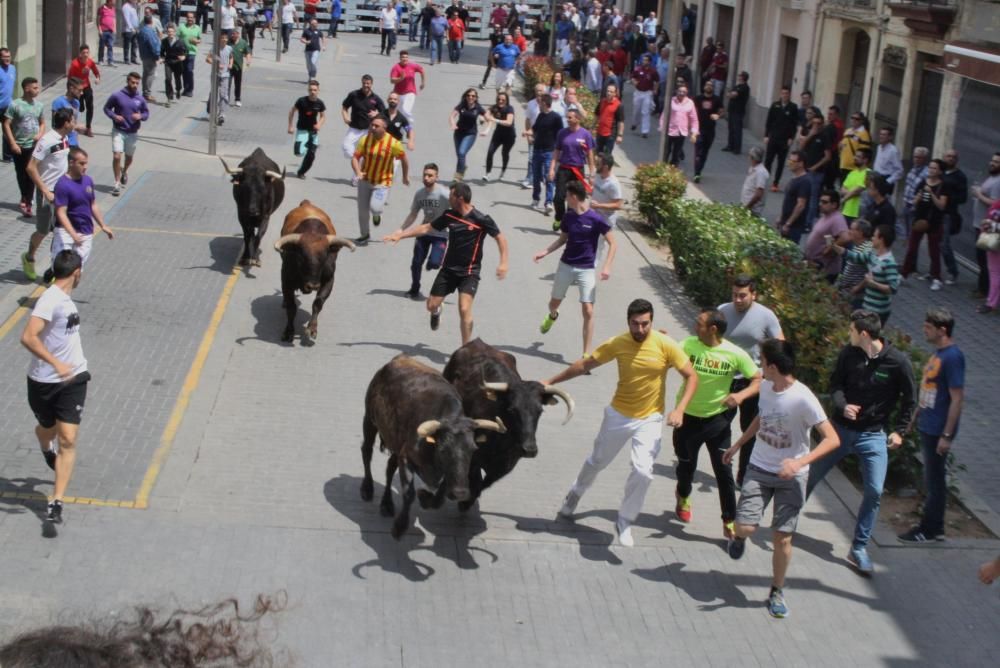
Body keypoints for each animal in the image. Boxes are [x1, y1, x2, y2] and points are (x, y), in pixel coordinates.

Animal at [274, 201, 356, 342]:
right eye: (301, 256)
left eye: (325, 256)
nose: (312, 286)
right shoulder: (286, 279)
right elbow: (291, 307)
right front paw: (288, 331)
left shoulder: (329, 280)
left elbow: (318, 303)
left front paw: (312, 329)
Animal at [360, 358, 504, 540]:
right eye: (443, 449)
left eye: (473, 449)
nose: (461, 493)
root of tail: (396, 360)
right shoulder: (406, 458)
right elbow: (408, 493)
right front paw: (399, 528)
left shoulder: (445, 474)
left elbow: (439, 498)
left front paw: (424, 497)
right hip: (369, 419)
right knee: (366, 451)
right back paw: (367, 488)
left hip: (395, 440)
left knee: (390, 467)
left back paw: (386, 504)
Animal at [444, 340, 576, 512]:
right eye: (512, 410)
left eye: (540, 411)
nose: (529, 450)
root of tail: (477, 342)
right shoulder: (473, 454)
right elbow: (474, 478)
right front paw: (464, 502)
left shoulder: (506, 465)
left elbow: (484, 484)